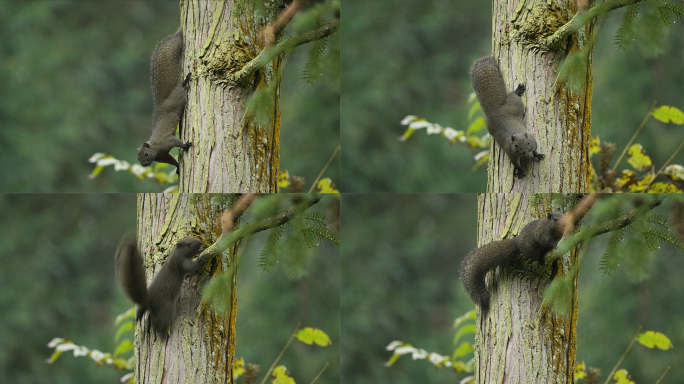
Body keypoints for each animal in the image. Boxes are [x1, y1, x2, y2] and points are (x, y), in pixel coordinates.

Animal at [136, 29, 191, 175]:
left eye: (146, 154)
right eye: (138, 158)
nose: (144, 165)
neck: (155, 148)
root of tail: (162, 101)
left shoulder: (166, 142)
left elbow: (176, 142)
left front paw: (185, 145)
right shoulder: (162, 156)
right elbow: (171, 160)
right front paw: (177, 167)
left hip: (178, 97)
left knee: (181, 89)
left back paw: (185, 81)